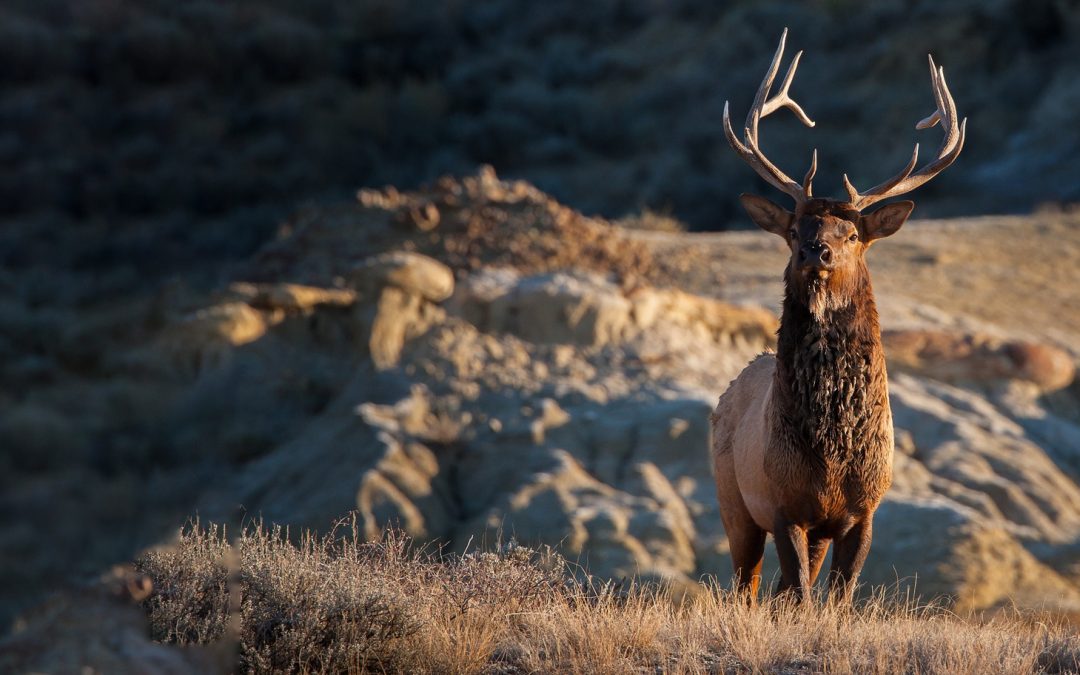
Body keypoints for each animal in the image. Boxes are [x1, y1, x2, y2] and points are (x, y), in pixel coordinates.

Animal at [709, 29, 965, 603]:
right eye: (793, 230)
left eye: (851, 234)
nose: (815, 250)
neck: (832, 451)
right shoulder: (783, 504)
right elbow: (803, 595)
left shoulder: (863, 510)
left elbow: (837, 599)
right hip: (734, 500)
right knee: (748, 585)